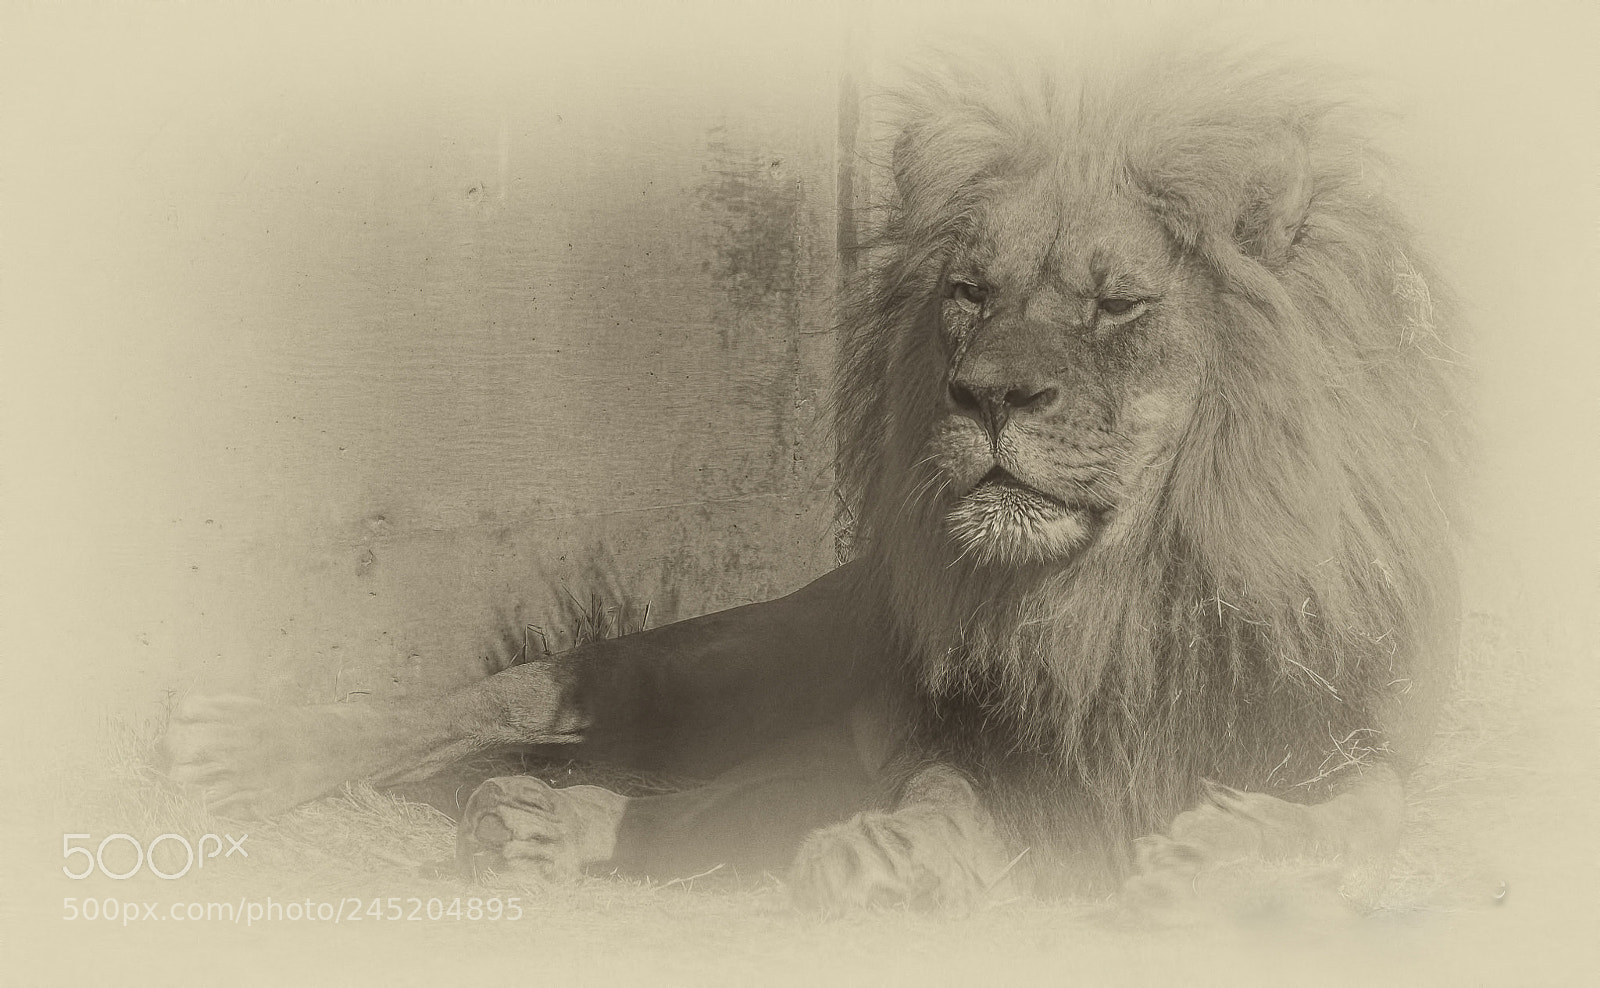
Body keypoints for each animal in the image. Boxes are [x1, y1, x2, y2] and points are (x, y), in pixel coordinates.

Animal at [165, 50, 1465, 915]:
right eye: (970, 292)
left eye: (1116, 304)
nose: (988, 395)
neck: (1120, 587)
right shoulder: (976, 733)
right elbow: (943, 793)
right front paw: (892, 859)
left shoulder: (1376, 736)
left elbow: (1369, 816)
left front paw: (1215, 855)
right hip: (727, 664)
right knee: (513, 699)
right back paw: (239, 757)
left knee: (695, 806)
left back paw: (537, 826)